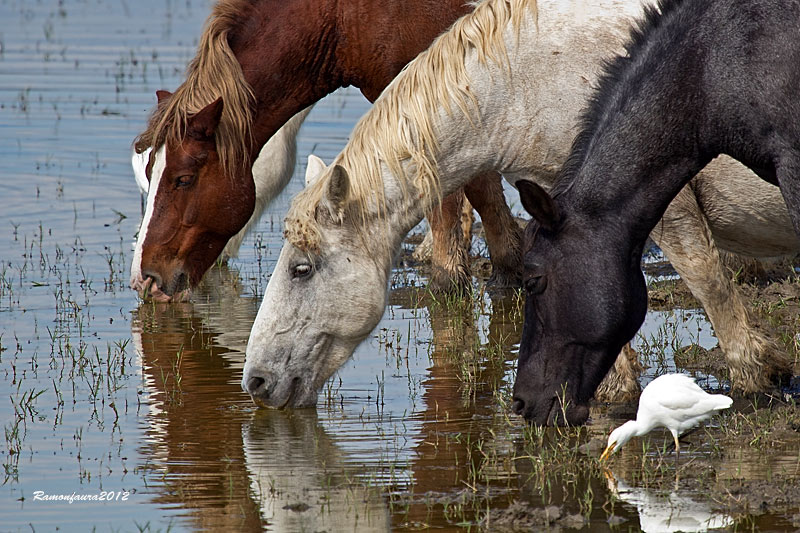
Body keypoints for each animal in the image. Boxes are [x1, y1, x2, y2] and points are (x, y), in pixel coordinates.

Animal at [128, 0, 520, 302]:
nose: (144, 279)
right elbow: (484, 191)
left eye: (183, 179)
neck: (342, 16)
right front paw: (508, 269)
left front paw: (451, 279)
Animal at [242, 0, 792, 408]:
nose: (255, 382)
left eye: (301, 269)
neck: (532, 76)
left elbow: (706, 276)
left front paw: (756, 374)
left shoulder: (663, 199)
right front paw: (611, 387)